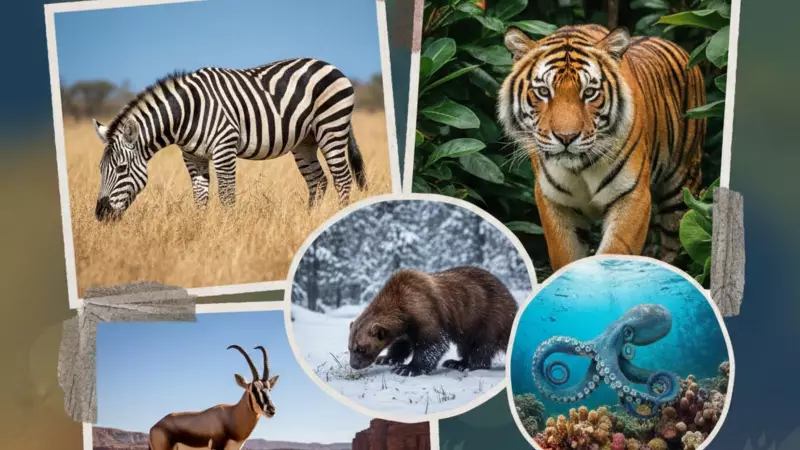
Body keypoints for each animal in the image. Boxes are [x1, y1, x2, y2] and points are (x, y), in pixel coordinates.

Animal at [497, 24, 706, 271]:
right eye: (543, 92)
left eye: (589, 93)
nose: (566, 137)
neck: (578, 168)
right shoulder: (554, 201)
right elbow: (566, 257)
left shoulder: (633, 196)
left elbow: (616, 252)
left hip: (681, 192)